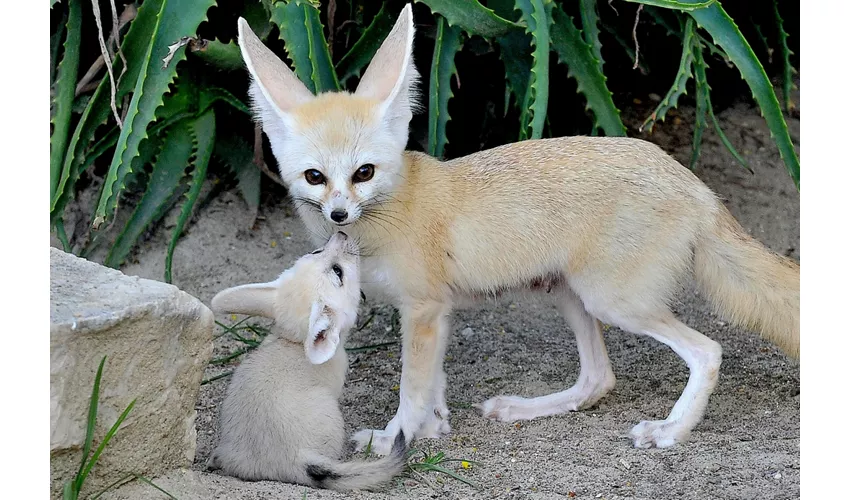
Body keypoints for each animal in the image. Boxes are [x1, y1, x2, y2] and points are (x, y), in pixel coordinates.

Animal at [232, 3, 796, 452]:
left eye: (363, 173)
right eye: (316, 177)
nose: (338, 216)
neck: (394, 208)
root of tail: (692, 182)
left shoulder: (424, 312)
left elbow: (412, 391)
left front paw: (394, 441)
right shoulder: (437, 315)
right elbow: (432, 391)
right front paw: (433, 432)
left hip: (614, 302)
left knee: (707, 351)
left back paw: (671, 431)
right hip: (570, 295)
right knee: (599, 380)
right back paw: (523, 409)